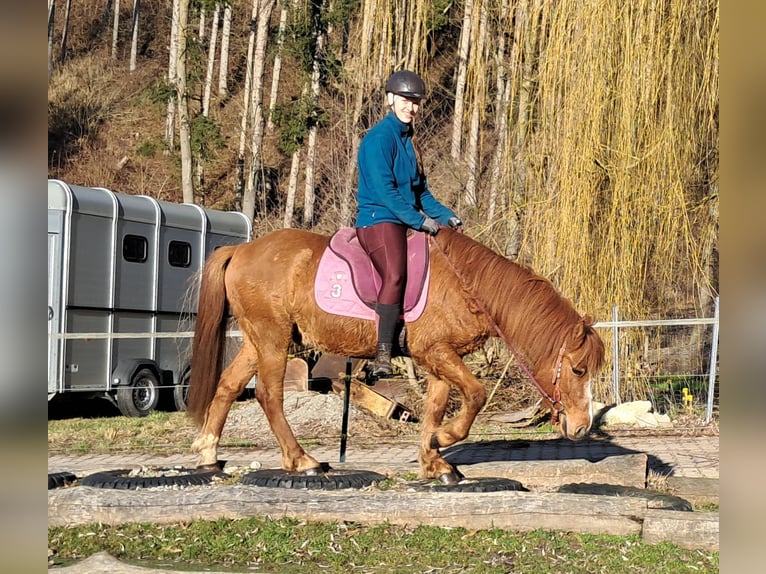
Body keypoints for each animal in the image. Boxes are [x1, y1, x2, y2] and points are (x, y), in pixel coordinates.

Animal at [186, 227, 605, 484]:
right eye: (578, 370)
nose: (582, 427)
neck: (467, 284)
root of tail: (241, 249)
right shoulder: (436, 352)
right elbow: (475, 395)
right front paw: (443, 439)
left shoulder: (440, 361)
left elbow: (435, 408)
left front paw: (434, 460)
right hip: (272, 340)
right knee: (269, 395)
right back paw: (301, 459)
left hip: (258, 341)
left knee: (227, 386)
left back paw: (208, 452)